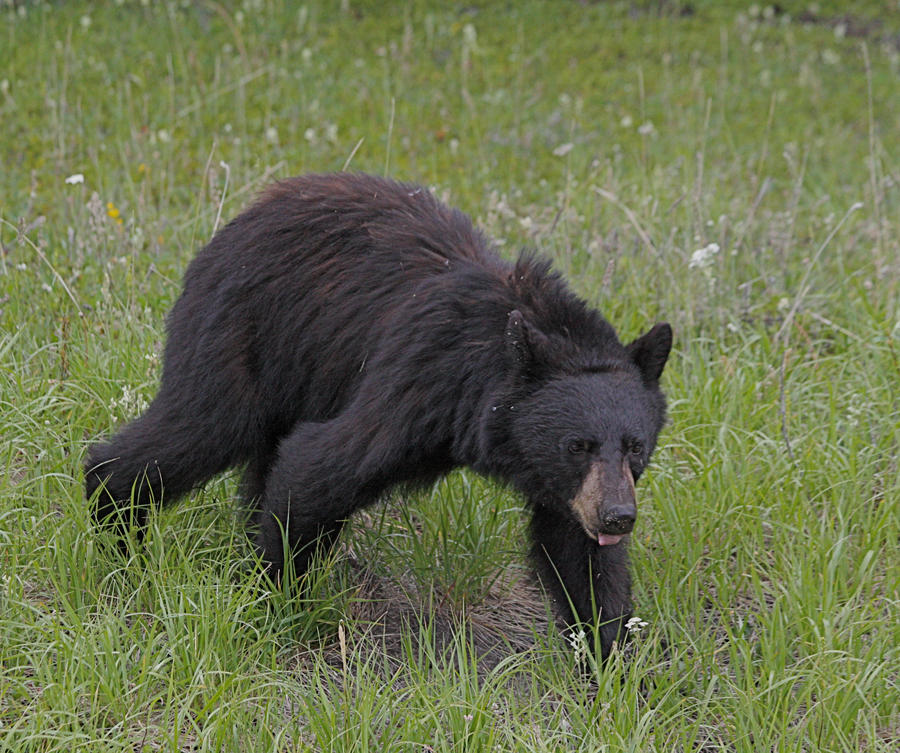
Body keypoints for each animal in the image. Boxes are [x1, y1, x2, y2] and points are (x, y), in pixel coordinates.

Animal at [84, 172, 672, 656]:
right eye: (577, 444)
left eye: (635, 447)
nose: (619, 516)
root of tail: (240, 218)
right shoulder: (420, 384)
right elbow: (318, 467)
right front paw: (278, 602)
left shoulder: (565, 486)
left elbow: (578, 556)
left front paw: (611, 662)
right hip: (243, 332)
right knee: (201, 426)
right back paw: (115, 533)